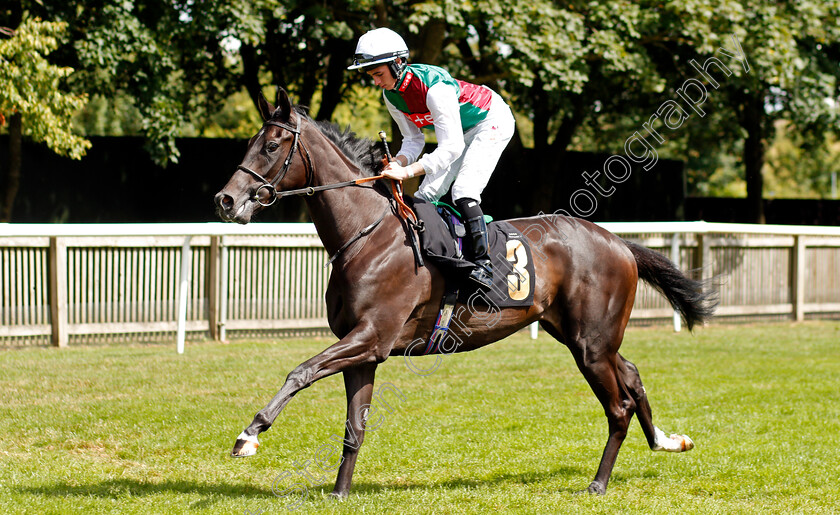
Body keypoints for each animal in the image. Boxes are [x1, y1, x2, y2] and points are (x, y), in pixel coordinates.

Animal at [215, 86, 716, 498]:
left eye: (272, 145)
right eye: (249, 143)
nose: (225, 200)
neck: (366, 233)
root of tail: (619, 243)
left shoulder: (370, 337)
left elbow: (300, 371)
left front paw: (249, 435)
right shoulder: (364, 351)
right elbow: (354, 427)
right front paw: (339, 493)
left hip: (591, 344)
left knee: (619, 405)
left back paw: (599, 483)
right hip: (580, 334)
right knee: (631, 374)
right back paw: (668, 441)